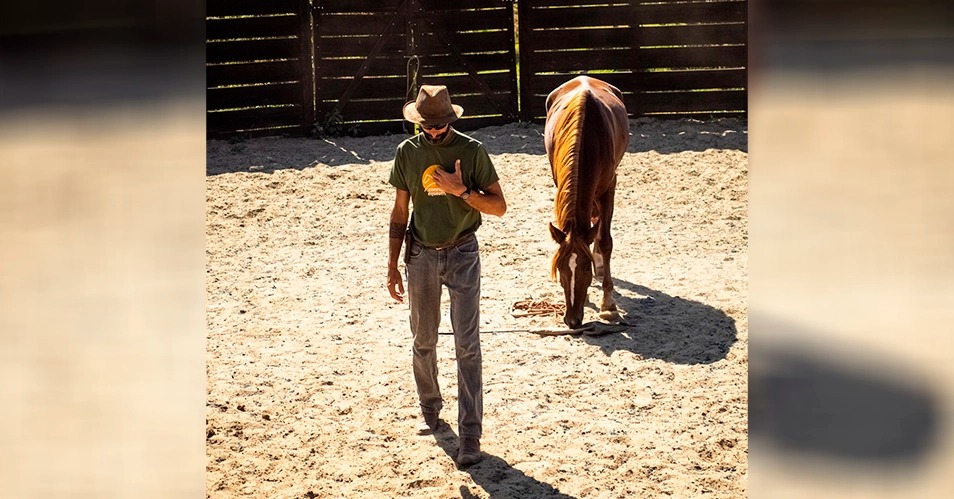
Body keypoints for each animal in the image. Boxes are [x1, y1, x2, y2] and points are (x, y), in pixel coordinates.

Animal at [548, 76, 628, 330]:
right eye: (561, 268)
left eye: (585, 267)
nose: (572, 320)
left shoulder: (608, 189)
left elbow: (604, 240)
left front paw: (608, 303)